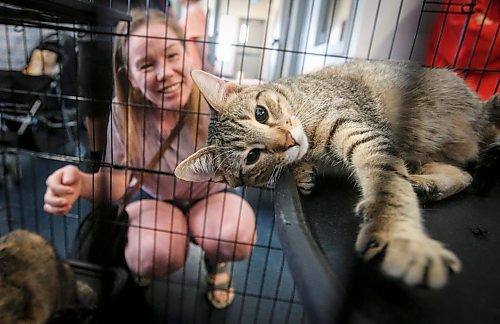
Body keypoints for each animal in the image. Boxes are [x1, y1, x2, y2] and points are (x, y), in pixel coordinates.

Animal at [176, 59, 500, 288]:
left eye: (261, 113)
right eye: (252, 156)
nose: (288, 141)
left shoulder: (361, 131)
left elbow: (389, 186)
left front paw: (399, 236)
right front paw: (301, 172)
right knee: (464, 176)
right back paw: (425, 184)